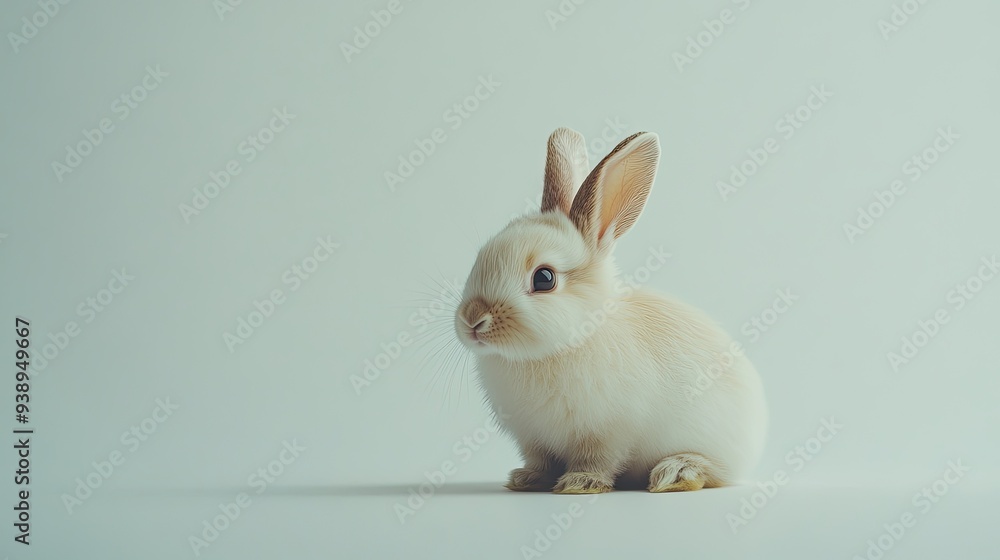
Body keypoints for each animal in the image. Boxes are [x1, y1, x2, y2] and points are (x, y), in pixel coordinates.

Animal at [453, 127, 767, 493]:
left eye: (544, 278)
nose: (473, 320)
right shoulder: (533, 439)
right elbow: (541, 460)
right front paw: (526, 479)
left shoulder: (608, 431)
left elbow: (597, 458)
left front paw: (579, 483)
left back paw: (676, 472)